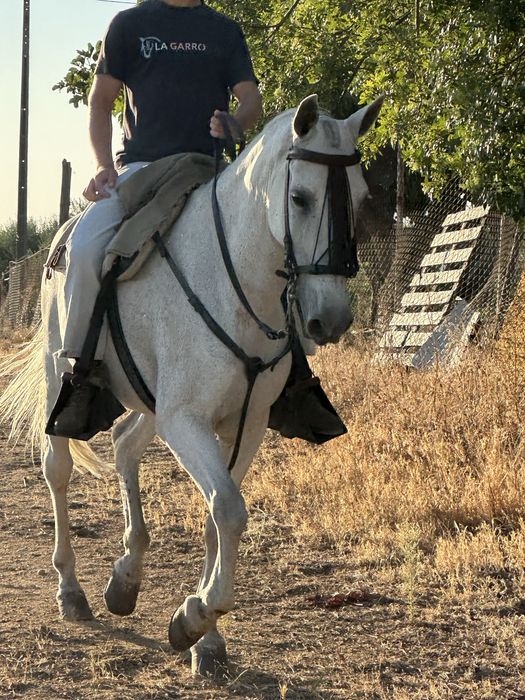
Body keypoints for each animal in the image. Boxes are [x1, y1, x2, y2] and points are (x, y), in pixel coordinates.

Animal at [1, 94, 383, 677]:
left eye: (360, 197)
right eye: (300, 197)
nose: (332, 320)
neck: (233, 283)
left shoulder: (242, 426)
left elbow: (218, 513)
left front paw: (207, 638)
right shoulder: (186, 422)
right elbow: (227, 508)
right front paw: (195, 616)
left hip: (152, 405)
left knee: (124, 445)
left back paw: (126, 578)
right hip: (58, 376)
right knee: (58, 470)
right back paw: (72, 591)